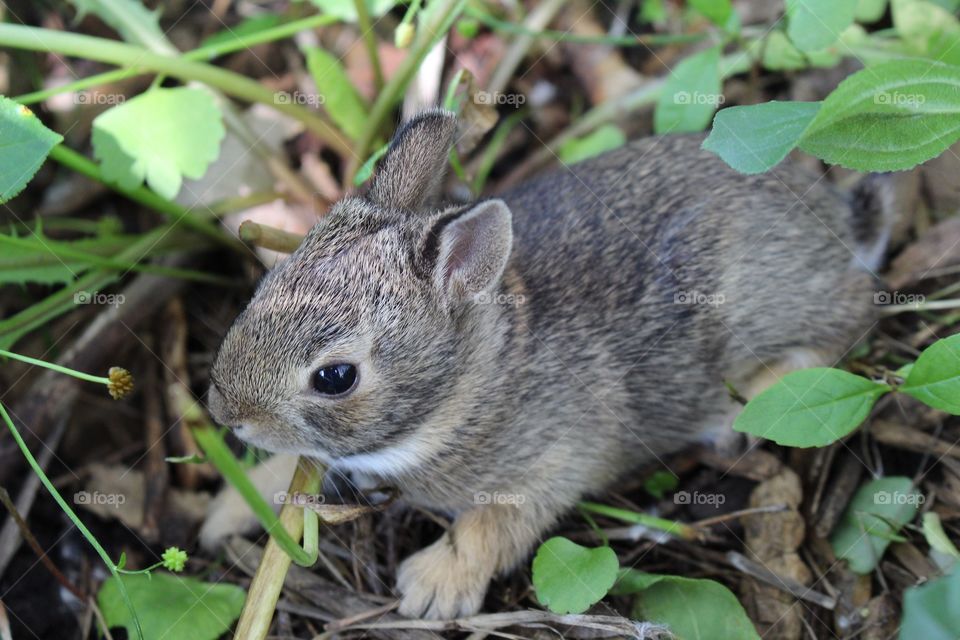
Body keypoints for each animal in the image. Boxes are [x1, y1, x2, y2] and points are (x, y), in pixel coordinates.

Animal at [202, 110, 884, 620]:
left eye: (335, 377)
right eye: (265, 287)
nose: (225, 413)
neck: (469, 387)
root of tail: (837, 220)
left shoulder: (554, 459)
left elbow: (492, 525)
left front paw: (431, 588)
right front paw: (227, 512)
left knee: (848, 320)